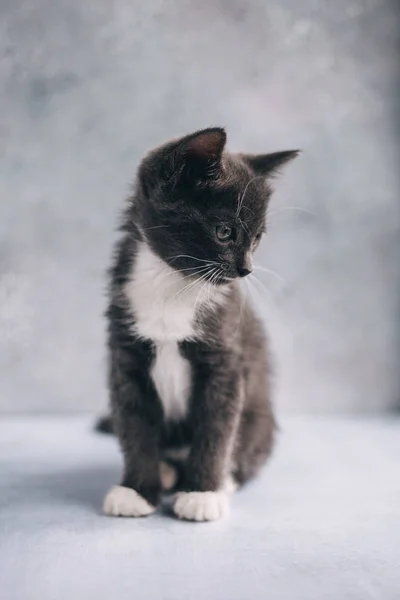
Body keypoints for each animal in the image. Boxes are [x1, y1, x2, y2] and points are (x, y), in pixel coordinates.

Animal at [101, 126, 298, 520]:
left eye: (257, 239)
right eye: (224, 232)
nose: (246, 269)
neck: (172, 285)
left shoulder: (225, 359)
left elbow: (217, 426)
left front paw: (203, 492)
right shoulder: (126, 355)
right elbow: (133, 421)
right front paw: (137, 490)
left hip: (261, 419)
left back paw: (222, 480)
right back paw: (165, 471)